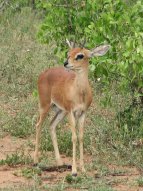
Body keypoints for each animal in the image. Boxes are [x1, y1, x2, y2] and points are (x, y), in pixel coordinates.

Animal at [34, 40, 110, 176]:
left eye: (80, 55)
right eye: (68, 53)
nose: (66, 63)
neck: (79, 92)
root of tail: (43, 73)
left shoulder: (83, 113)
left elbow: (81, 137)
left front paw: (83, 169)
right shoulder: (71, 112)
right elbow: (74, 138)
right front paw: (74, 171)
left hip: (60, 111)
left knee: (51, 125)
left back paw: (60, 162)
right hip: (45, 106)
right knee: (38, 125)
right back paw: (36, 161)